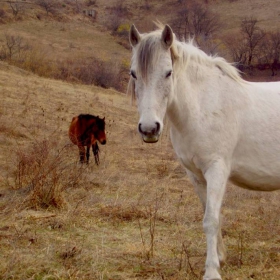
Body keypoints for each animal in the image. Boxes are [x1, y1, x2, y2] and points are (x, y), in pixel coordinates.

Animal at [128, 24, 280, 280]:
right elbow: (208, 213)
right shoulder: (196, 175)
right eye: (133, 74)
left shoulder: (217, 170)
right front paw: (220, 258)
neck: (203, 106)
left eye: (168, 73)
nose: (149, 129)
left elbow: (211, 219)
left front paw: (211, 271)